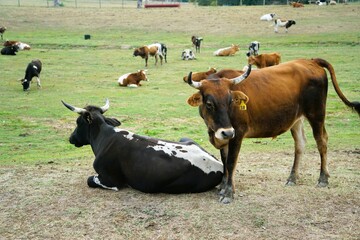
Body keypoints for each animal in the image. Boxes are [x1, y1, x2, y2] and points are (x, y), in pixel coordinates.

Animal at [63, 99, 224, 193]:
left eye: (78, 122)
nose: (71, 138)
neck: (105, 137)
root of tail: (220, 165)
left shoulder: (111, 180)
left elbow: (90, 180)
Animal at [187, 58, 358, 202]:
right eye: (209, 104)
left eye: (230, 101)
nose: (227, 132)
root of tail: (310, 61)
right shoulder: (224, 136)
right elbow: (224, 161)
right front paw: (223, 187)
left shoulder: (237, 133)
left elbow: (230, 163)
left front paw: (228, 193)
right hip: (296, 119)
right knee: (300, 144)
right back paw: (292, 178)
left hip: (316, 114)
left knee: (321, 141)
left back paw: (323, 178)